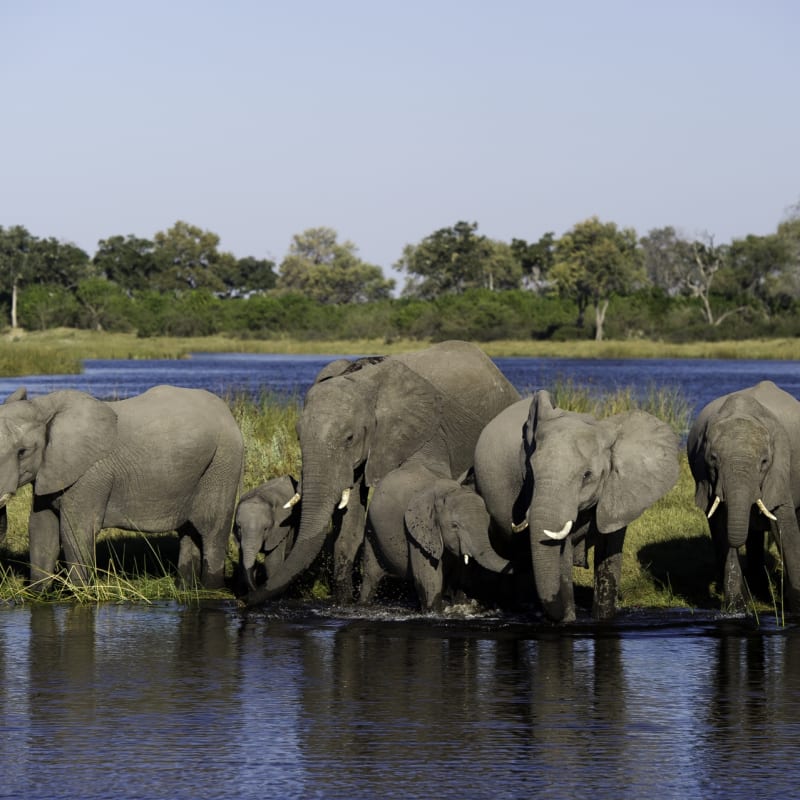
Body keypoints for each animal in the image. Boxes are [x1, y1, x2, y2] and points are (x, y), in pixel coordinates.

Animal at [0, 385, 244, 590]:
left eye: (23, 452)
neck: (43, 405)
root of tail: (227, 412)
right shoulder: (50, 471)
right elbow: (42, 530)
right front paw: (37, 594)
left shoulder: (90, 474)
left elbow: (75, 531)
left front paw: (81, 594)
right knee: (189, 531)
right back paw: (185, 588)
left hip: (223, 462)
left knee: (211, 529)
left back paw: (211, 589)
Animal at [360, 463, 512, 610]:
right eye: (454, 526)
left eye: (487, 525)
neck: (448, 493)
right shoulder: (417, 534)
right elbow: (429, 578)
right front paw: (434, 611)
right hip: (371, 529)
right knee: (370, 577)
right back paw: (364, 604)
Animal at [473, 390, 680, 622]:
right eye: (530, 471)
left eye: (587, 475)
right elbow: (563, 554)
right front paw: (568, 621)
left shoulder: (619, 493)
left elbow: (609, 550)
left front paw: (602, 618)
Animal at [687, 380, 800, 613]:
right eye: (713, 459)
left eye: (764, 462)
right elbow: (720, 526)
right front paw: (736, 609)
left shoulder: (780, 468)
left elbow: (784, 524)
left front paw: (795, 606)